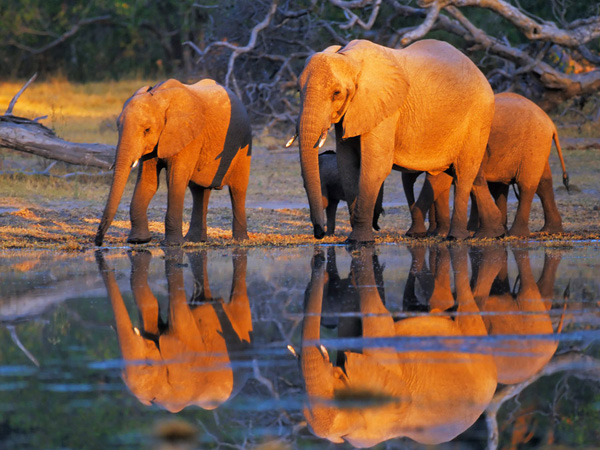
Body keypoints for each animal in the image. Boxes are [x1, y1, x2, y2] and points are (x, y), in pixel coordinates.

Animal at [94, 77, 253, 246]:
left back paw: (240, 240)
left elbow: (175, 180)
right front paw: (138, 240)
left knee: (237, 190)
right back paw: (195, 240)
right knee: (199, 191)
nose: (98, 242)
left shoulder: (188, 136)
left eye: (147, 130)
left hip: (243, 143)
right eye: (118, 128)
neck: (159, 96)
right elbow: (148, 182)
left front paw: (173, 244)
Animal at [292, 38, 502, 243]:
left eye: (336, 93)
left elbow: (376, 165)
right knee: (461, 173)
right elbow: (347, 164)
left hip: (478, 116)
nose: (319, 233)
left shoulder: (386, 109)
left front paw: (359, 241)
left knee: (463, 172)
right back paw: (491, 233)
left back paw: (456, 237)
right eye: (298, 91)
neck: (349, 57)